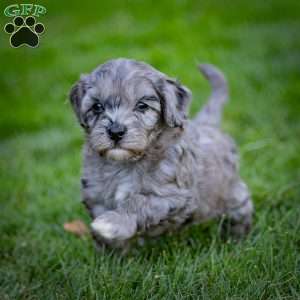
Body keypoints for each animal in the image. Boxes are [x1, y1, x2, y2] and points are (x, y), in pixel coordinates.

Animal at [69, 58, 253, 248]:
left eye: (142, 106)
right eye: (97, 107)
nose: (115, 131)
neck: (126, 163)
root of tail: (207, 124)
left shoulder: (173, 196)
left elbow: (139, 201)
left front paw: (112, 222)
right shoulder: (96, 197)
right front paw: (111, 252)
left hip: (231, 193)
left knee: (242, 208)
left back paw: (237, 238)